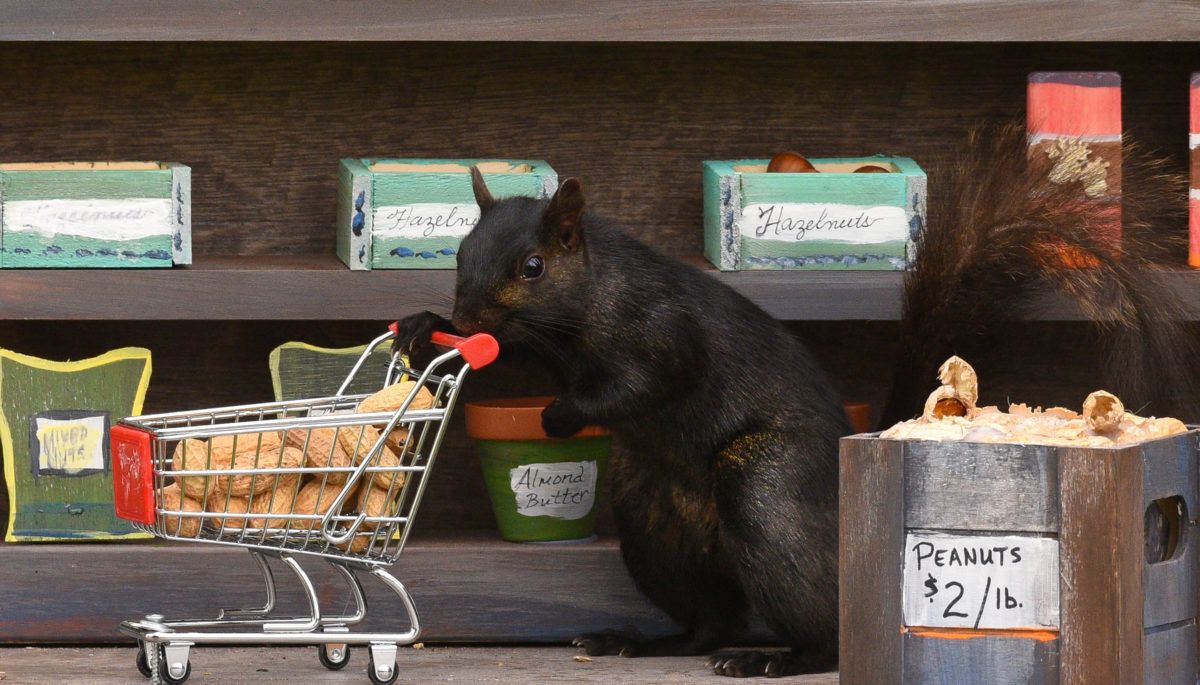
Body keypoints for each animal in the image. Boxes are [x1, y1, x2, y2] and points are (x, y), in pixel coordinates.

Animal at [392, 123, 1194, 678]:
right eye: (460, 252)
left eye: (532, 266)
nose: (465, 315)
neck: (590, 296)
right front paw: (422, 328)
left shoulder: (661, 332)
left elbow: (639, 385)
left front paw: (561, 413)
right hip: (654, 525)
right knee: (709, 620)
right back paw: (641, 641)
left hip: (765, 488)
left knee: (826, 633)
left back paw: (773, 658)